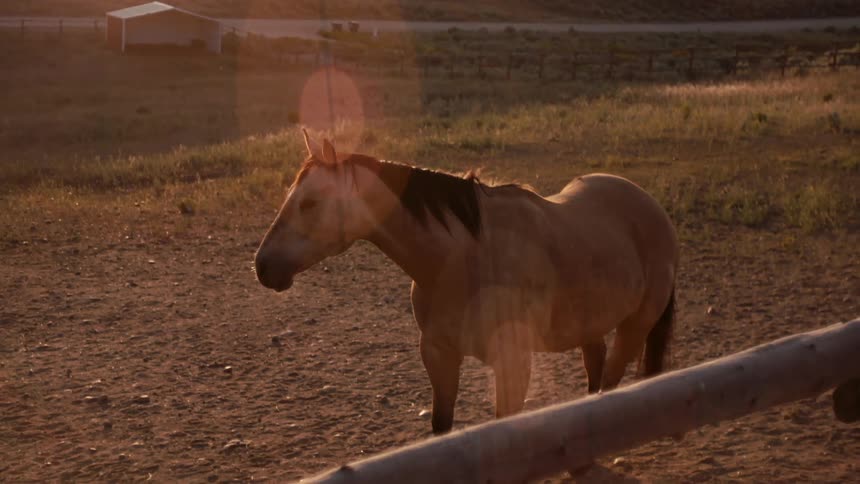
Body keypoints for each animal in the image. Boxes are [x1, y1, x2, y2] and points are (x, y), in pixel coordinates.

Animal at [255, 129, 679, 435]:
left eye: (310, 202)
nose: (262, 266)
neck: (464, 260)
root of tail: (652, 207)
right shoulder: (438, 354)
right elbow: (441, 428)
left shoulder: (512, 361)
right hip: (588, 323)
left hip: (636, 326)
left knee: (610, 381)